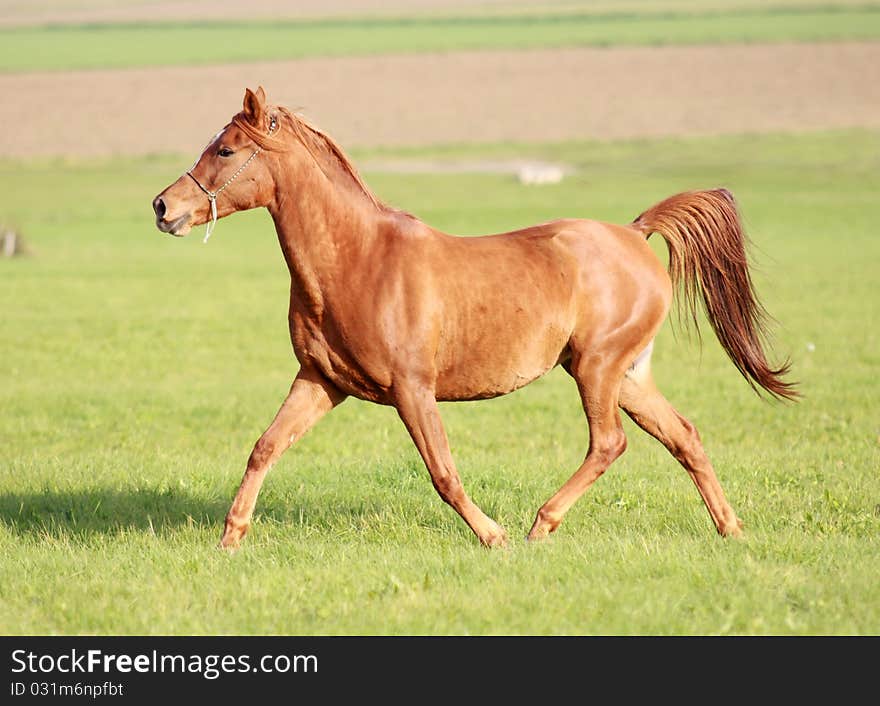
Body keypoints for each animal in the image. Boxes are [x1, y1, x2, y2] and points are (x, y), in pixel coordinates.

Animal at [151, 88, 796, 548]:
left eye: (226, 150)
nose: (162, 206)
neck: (359, 260)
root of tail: (636, 234)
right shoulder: (320, 381)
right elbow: (264, 447)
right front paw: (231, 538)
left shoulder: (412, 389)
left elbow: (442, 471)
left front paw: (493, 536)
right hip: (628, 375)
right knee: (683, 436)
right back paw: (731, 529)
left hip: (597, 367)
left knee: (609, 443)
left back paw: (540, 524)